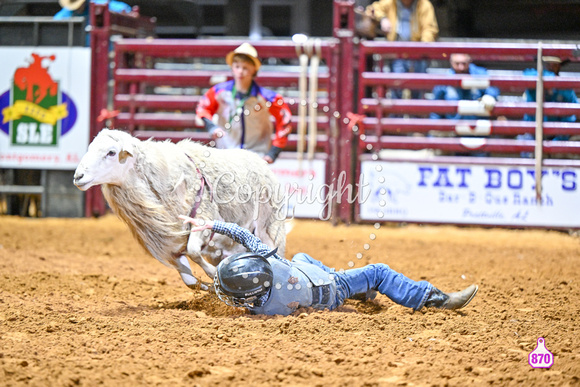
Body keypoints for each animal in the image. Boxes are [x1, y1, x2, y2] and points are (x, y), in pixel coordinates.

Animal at [73, 130, 286, 292]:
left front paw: (212, 275)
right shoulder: (169, 246)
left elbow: (194, 252)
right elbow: (189, 280)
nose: (78, 176)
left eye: (111, 152)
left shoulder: (203, 221)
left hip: (269, 229)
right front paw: (208, 289)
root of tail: (260, 160)